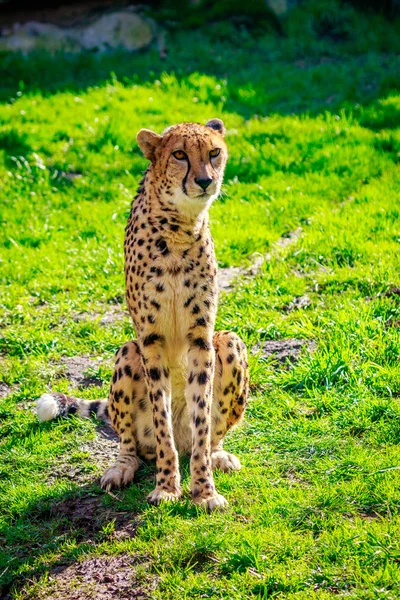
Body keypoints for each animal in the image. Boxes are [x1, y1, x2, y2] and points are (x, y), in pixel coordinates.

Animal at [38, 118, 250, 510]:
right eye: (179, 154)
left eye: (214, 152)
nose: (205, 181)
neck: (180, 228)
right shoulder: (150, 341)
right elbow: (162, 421)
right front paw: (167, 487)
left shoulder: (201, 340)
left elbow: (201, 422)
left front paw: (204, 491)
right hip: (127, 352)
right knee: (132, 443)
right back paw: (121, 468)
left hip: (228, 342)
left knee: (208, 436)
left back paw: (217, 455)